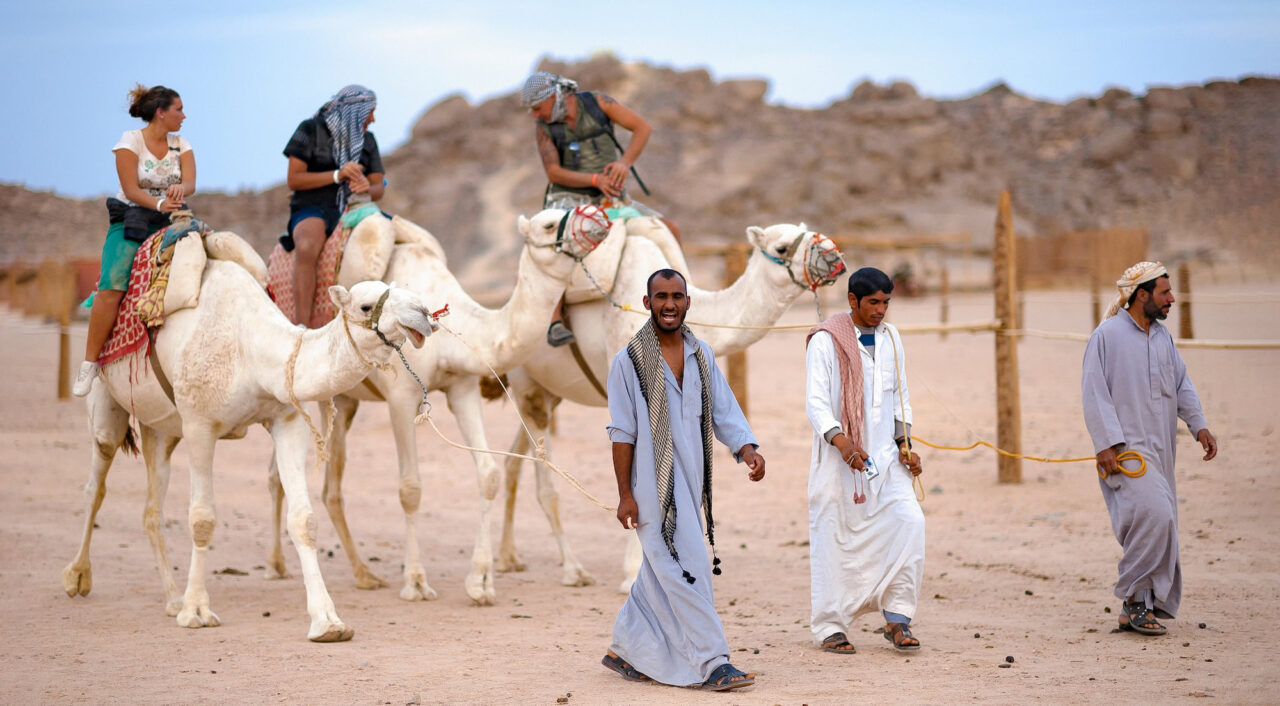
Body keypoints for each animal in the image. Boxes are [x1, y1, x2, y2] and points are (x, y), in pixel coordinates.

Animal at [62, 248, 438, 642]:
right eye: (366, 306)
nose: (424, 313)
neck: (251, 350)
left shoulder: (287, 420)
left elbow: (304, 520)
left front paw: (328, 621)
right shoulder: (199, 424)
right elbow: (202, 518)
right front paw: (197, 611)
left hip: (161, 430)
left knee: (151, 510)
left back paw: (172, 598)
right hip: (109, 403)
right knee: (96, 482)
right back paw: (79, 577)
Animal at [265, 208, 608, 605]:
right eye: (549, 223)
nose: (600, 219)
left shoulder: (462, 387)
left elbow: (489, 475)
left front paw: (481, 581)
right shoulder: (401, 397)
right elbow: (410, 488)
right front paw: (415, 582)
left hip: (342, 401)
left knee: (316, 482)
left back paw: (349, 572)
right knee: (299, 478)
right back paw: (292, 566)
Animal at [495, 223, 846, 592]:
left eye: (807, 231)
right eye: (781, 247)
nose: (833, 255)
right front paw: (631, 575)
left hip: (549, 392)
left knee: (513, 462)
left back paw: (508, 558)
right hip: (527, 383)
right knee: (544, 482)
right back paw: (572, 570)